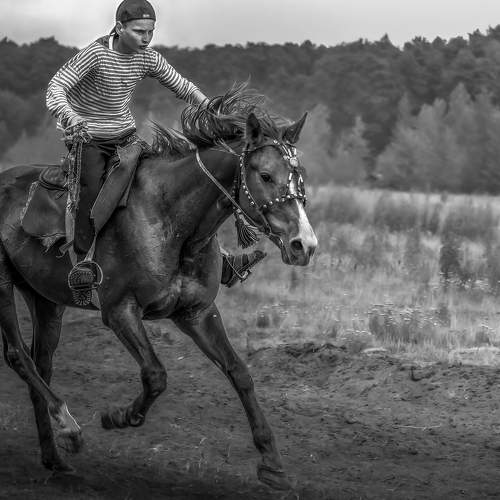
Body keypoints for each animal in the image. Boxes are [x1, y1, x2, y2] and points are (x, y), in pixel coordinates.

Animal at [0, 86, 318, 491]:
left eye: (299, 177)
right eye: (265, 174)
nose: (304, 245)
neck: (172, 219)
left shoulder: (197, 313)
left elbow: (240, 373)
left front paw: (272, 463)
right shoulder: (120, 311)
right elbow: (156, 375)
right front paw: (118, 416)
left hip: (45, 300)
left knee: (42, 364)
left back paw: (54, 457)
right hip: (2, 285)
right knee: (18, 356)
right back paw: (68, 427)